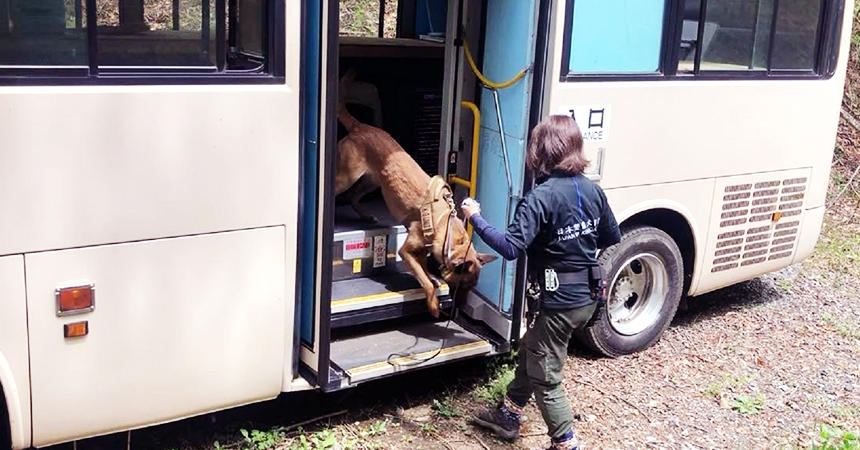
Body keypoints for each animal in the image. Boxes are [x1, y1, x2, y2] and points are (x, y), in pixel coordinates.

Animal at [336, 92, 498, 316]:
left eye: (471, 288)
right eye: (462, 287)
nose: (458, 309)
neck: (446, 227)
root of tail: (360, 126)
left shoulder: (420, 252)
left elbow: (424, 272)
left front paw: (432, 280)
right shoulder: (406, 252)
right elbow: (425, 281)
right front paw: (433, 304)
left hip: (374, 181)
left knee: (354, 197)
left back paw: (367, 216)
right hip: (347, 177)